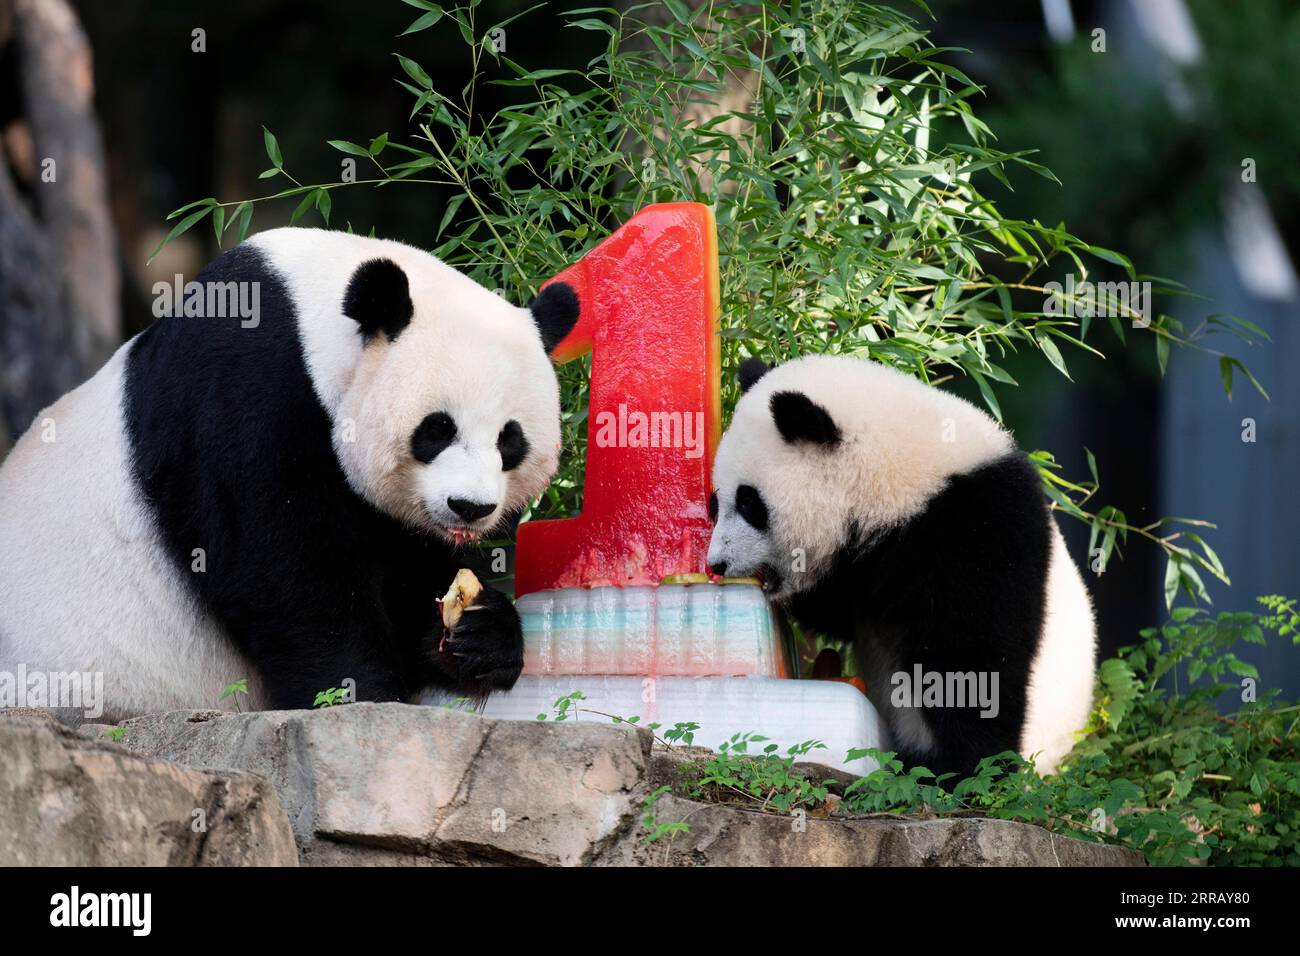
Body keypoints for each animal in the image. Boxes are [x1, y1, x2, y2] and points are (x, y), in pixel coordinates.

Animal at [0, 228, 579, 721]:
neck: (311, 318)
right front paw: (358, 696)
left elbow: (405, 573)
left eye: (510, 441)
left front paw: (480, 632)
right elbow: (284, 566)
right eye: (436, 429)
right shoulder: (242, 390)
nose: (470, 508)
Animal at [706, 355, 1096, 777]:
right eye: (715, 502)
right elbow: (839, 615)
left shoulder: (975, 528)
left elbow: (973, 660)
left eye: (749, 503)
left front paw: (968, 768)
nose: (717, 563)